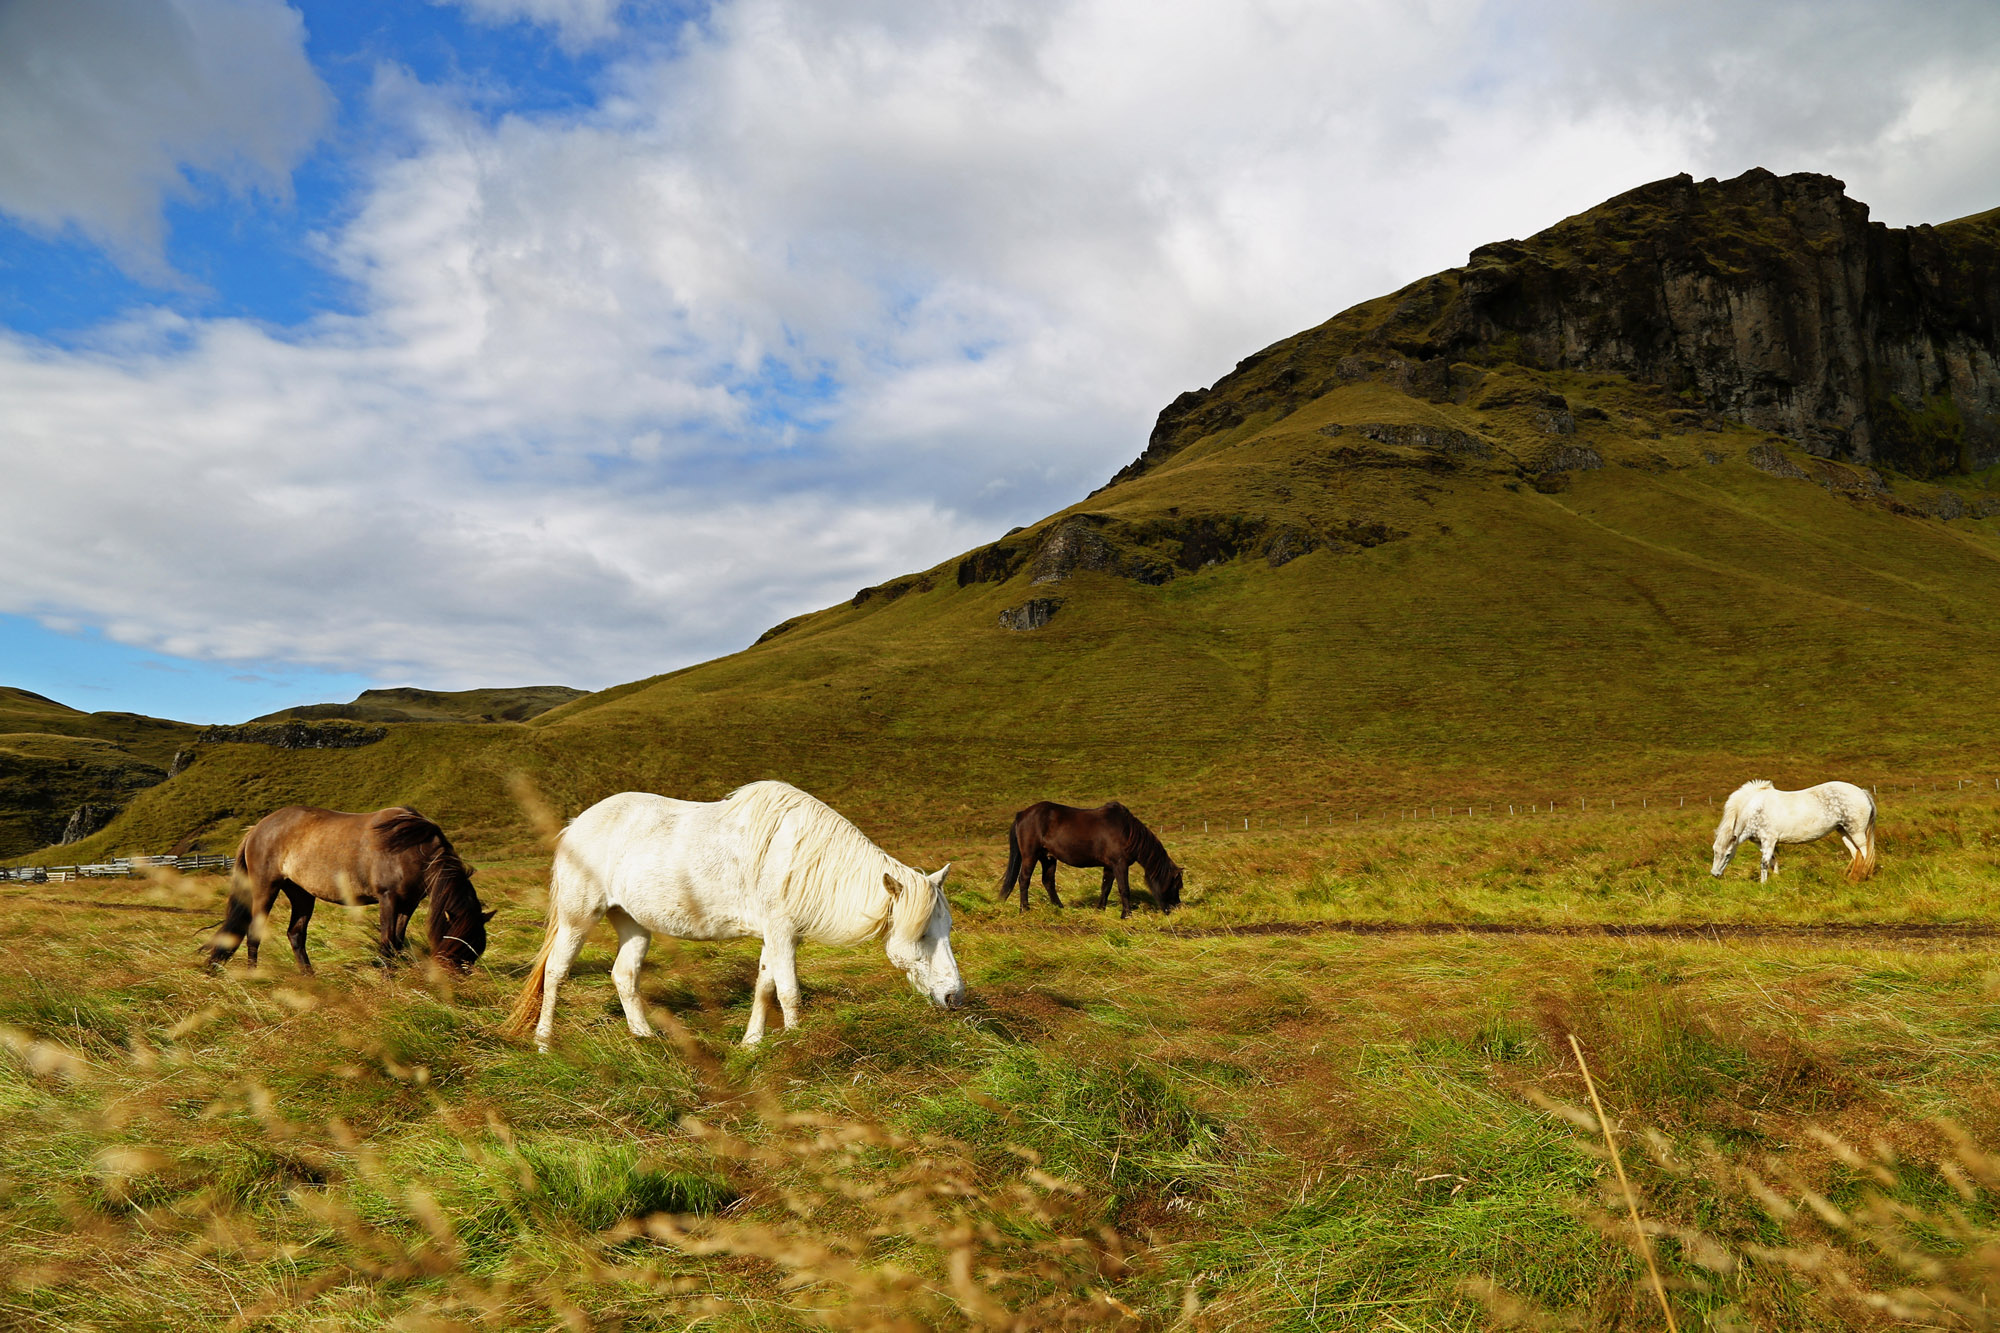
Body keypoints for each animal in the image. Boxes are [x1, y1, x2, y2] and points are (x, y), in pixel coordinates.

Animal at [204, 806, 494, 973]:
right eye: (457, 947)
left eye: (475, 951)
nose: (456, 982)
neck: (413, 847)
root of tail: (257, 829)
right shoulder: (389, 899)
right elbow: (387, 942)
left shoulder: (408, 903)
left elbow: (398, 942)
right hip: (266, 888)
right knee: (254, 933)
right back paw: (254, 976)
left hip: (301, 894)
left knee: (296, 934)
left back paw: (309, 977)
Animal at [500, 780, 964, 1052]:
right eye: (923, 933)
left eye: (947, 928)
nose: (955, 998)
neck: (806, 857)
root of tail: (576, 824)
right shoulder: (780, 933)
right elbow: (789, 993)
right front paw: (798, 1048)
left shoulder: (780, 937)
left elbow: (765, 987)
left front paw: (752, 1044)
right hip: (578, 918)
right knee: (556, 974)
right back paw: (544, 1042)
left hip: (633, 923)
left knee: (624, 976)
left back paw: (645, 1038)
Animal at [996, 800, 1183, 918]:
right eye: (1176, 885)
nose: (1176, 909)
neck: (1127, 831)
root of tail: (1021, 814)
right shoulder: (1120, 864)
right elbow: (1124, 889)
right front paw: (1127, 914)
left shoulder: (1110, 866)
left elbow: (1106, 887)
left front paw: (1100, 909)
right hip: (1030, 855)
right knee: (1024, 880)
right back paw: (1024, 909)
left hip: (1048, 858)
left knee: (1048, 881)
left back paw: (1059, 907)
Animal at [1710, 780, 1878, 883]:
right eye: (1714, 851)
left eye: (1728, 854)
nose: (1714, 874)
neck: (1754, 809)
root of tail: (1862, 792)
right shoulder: (1761, 842)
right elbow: (1772, 860)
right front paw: (1776, 879)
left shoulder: (1768, 839)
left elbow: (1764, 863)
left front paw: (1763, 884)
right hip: (1843, 831)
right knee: (1855, 854)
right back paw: (1851, 876)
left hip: (1856, 832)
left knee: (1865, 853)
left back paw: (1862, 876)